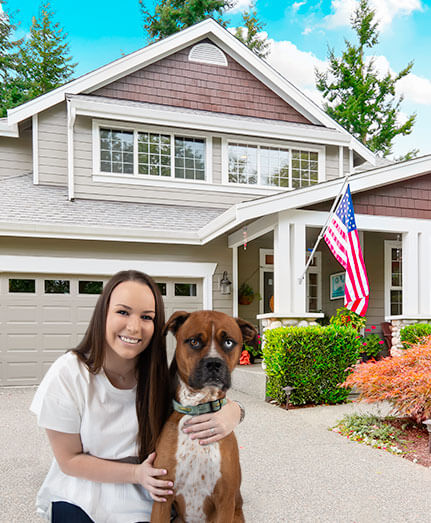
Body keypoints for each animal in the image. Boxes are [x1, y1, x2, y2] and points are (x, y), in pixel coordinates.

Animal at [152, 312, 258, 523]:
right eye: (194, 341)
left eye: (228, 342)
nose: (214, 363)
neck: (199, 408)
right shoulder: (162, 499)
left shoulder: (225, 503)